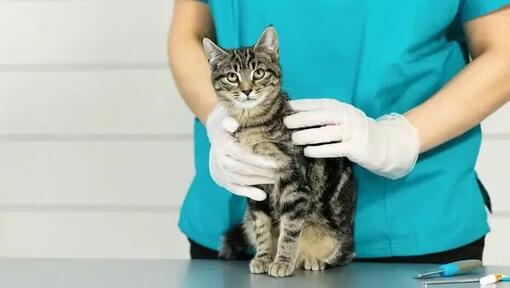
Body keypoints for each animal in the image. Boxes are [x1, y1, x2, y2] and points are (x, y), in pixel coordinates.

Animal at [202, 26, 354, 276]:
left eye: (259, 73)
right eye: (232, 76)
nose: (247, 91)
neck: (254, 125)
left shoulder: (294, 183)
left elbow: (290, 230)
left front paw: (282, 261)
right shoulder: (254, 185)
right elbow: (262, 226)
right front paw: (263, 258)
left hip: (337, 231)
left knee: (345, 253)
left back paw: (315, 259)